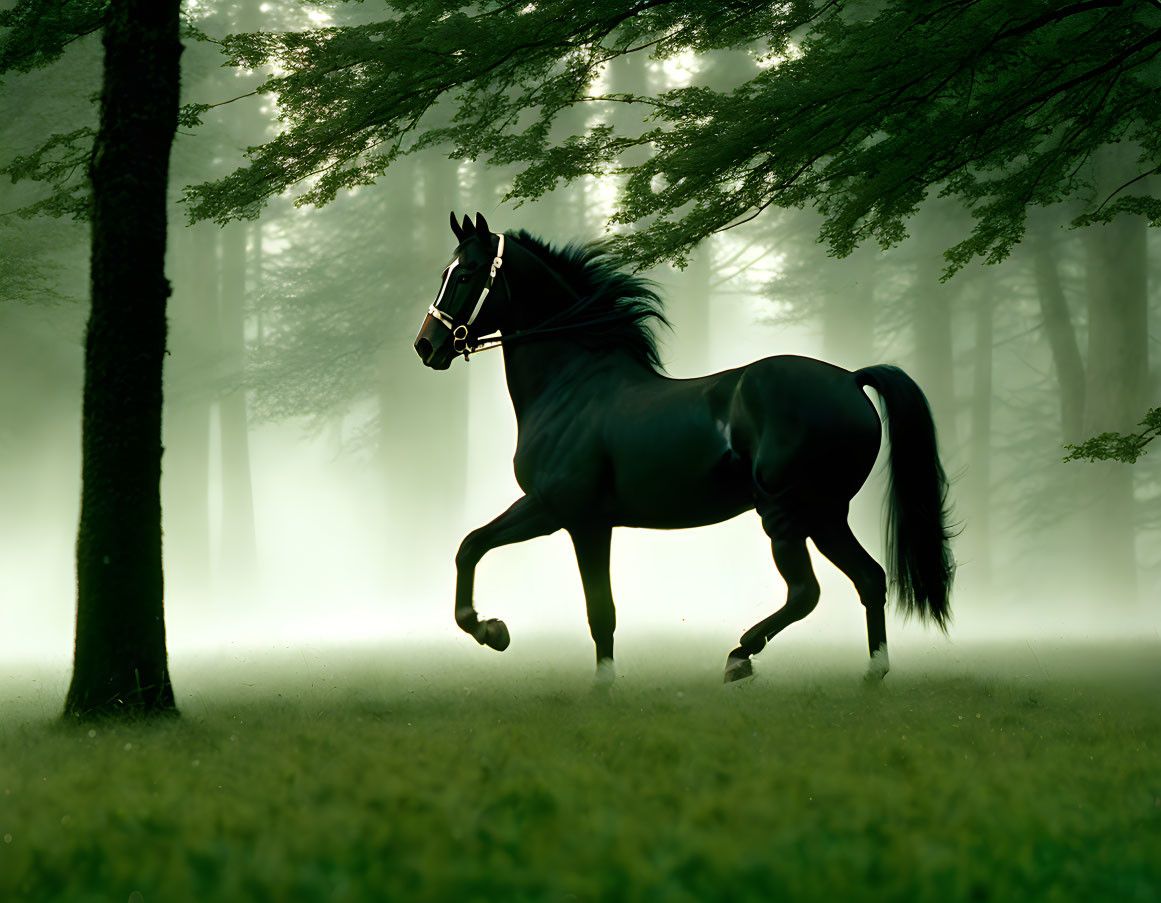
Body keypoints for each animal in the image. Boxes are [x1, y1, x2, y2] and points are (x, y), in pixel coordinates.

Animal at [415, 212, 952, 682]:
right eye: (444, 272)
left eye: (465, 274)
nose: (427, 345)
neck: (572, 384)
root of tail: (850, 380)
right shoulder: (551, 511)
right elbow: (471, 546)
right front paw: (491, 630)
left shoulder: (576, 518)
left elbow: (600, 610)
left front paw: (600, 682)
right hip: (825, 514)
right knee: (870, 579)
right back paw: (873, 673)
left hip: (784, 512)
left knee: (806, 591)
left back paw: (740, 655)